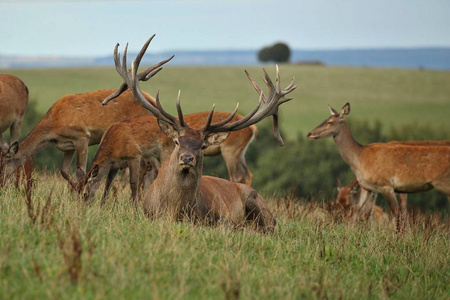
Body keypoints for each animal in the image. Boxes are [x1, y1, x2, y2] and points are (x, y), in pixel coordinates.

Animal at [81, 110, 256, 206]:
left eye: (84, 194)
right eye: (76, 191)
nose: (83, 207)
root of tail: (254, 128)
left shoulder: (135, 156)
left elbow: (133, 183)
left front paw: (134, 208)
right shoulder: (115, 166)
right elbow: (108, 185)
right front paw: (102, 207)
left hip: (229, 150)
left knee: (236, 176)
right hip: (239, 153)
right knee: (247, 174)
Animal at [103, 35, 298, 232]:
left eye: (203, 146)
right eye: (177, 141)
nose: (187, 158)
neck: (174, 211)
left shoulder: (218, 218)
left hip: (256, 200)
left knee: (266, 226)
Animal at [308, 102, 450, 232]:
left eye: (330, 122)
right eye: (325, 119)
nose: (309, 133)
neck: (360, 159)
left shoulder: (386, 185)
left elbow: (398, 215)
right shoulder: (367, 187)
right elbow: (358, 213)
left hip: (444, 183)